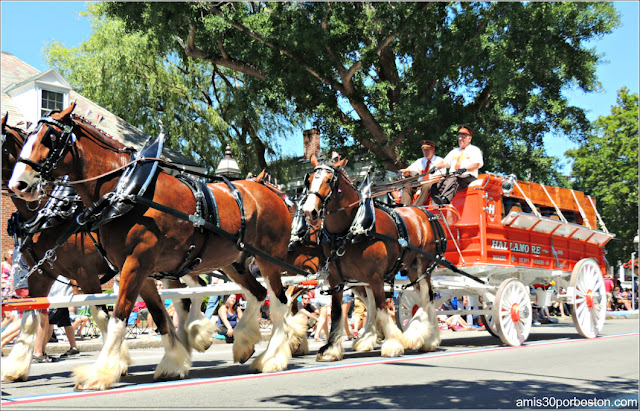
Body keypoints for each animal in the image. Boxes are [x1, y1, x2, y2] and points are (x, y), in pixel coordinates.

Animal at [8, 103, 298, 390]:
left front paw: (101, 372)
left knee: (278, 302)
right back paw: (241, 342)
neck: (128, 190)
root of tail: (271, 192)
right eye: (27, 137)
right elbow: (158, 315)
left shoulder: (126, 265)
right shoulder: (133, 270)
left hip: (268, 259)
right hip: (229, 262)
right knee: (255, 293)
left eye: (49, 137)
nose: (18, 184)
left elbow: (117, 316)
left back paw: (271, 358)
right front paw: (173, 361)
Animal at [300, 156, 440, 362]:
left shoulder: (376, 277)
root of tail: (424, 213)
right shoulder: (336, 279)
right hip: (408, 270)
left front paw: (393, 344)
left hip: (422, 267)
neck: (350, 230)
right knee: (421, 297)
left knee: (426, 298)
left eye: (329, 180)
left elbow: (382, 307)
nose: (310, 211)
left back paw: (427, 338)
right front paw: (331, 349)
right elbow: (336, 312)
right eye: (308, 180)